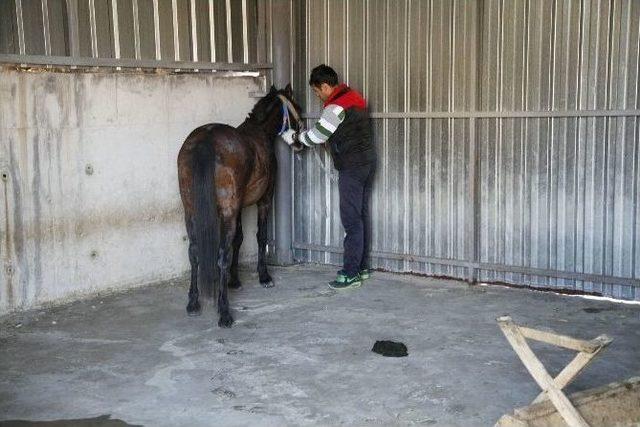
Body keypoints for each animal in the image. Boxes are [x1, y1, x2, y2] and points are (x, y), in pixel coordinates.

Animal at [176, 85, 304, 330]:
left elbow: (239, 239)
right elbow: (259, 236)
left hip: (191, 212)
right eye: (297, 108)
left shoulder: (239, 207)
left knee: (194, 252)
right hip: (227, 212)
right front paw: (264, 277)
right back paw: (224, 313)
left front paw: (234, 280)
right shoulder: (263, 200)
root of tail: (206, 138)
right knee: (221, 256)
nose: (299, 142)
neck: (260, 133)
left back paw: (193, 303)